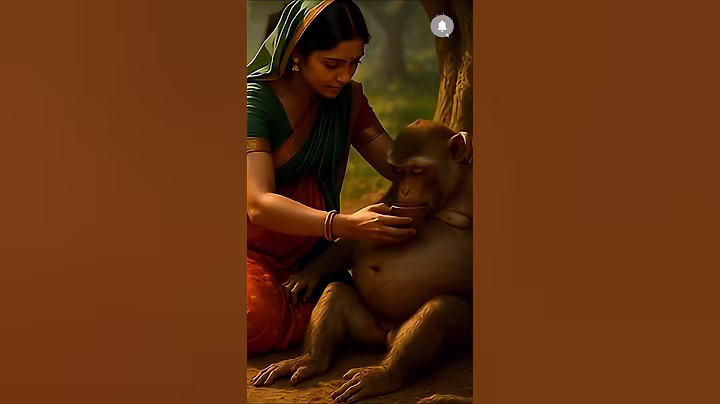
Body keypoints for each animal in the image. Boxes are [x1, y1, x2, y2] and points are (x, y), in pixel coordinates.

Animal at [252, 120, 473, 404]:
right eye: (399, 172)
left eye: (417, 171)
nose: (406, 189)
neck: (454, 189)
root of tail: (390, 334)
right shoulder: (394, 195)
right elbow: (366, 227)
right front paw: (308, 273)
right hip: (370, 329)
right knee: (336, 292)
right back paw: (311, 359)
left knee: (442, 309)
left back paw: (384, 375)